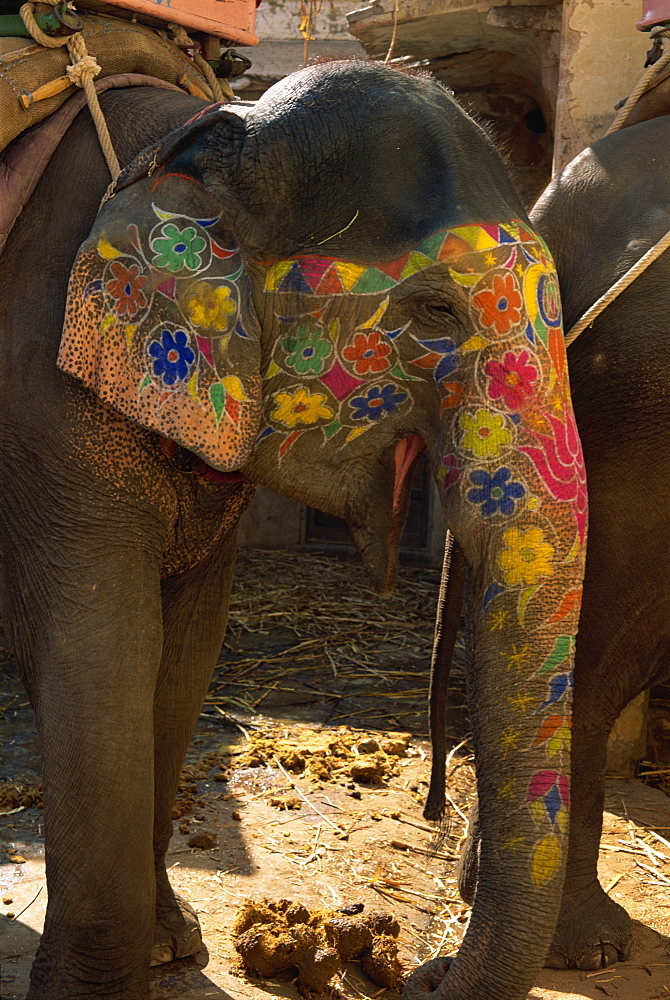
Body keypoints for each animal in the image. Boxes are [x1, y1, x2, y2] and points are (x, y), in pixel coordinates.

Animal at [0, 58, 588, 996]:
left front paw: (172, 947)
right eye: (435, 313)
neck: (200, 136)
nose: (427, 970)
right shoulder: (43, 396)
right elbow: (98, 647)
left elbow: (184, 653)